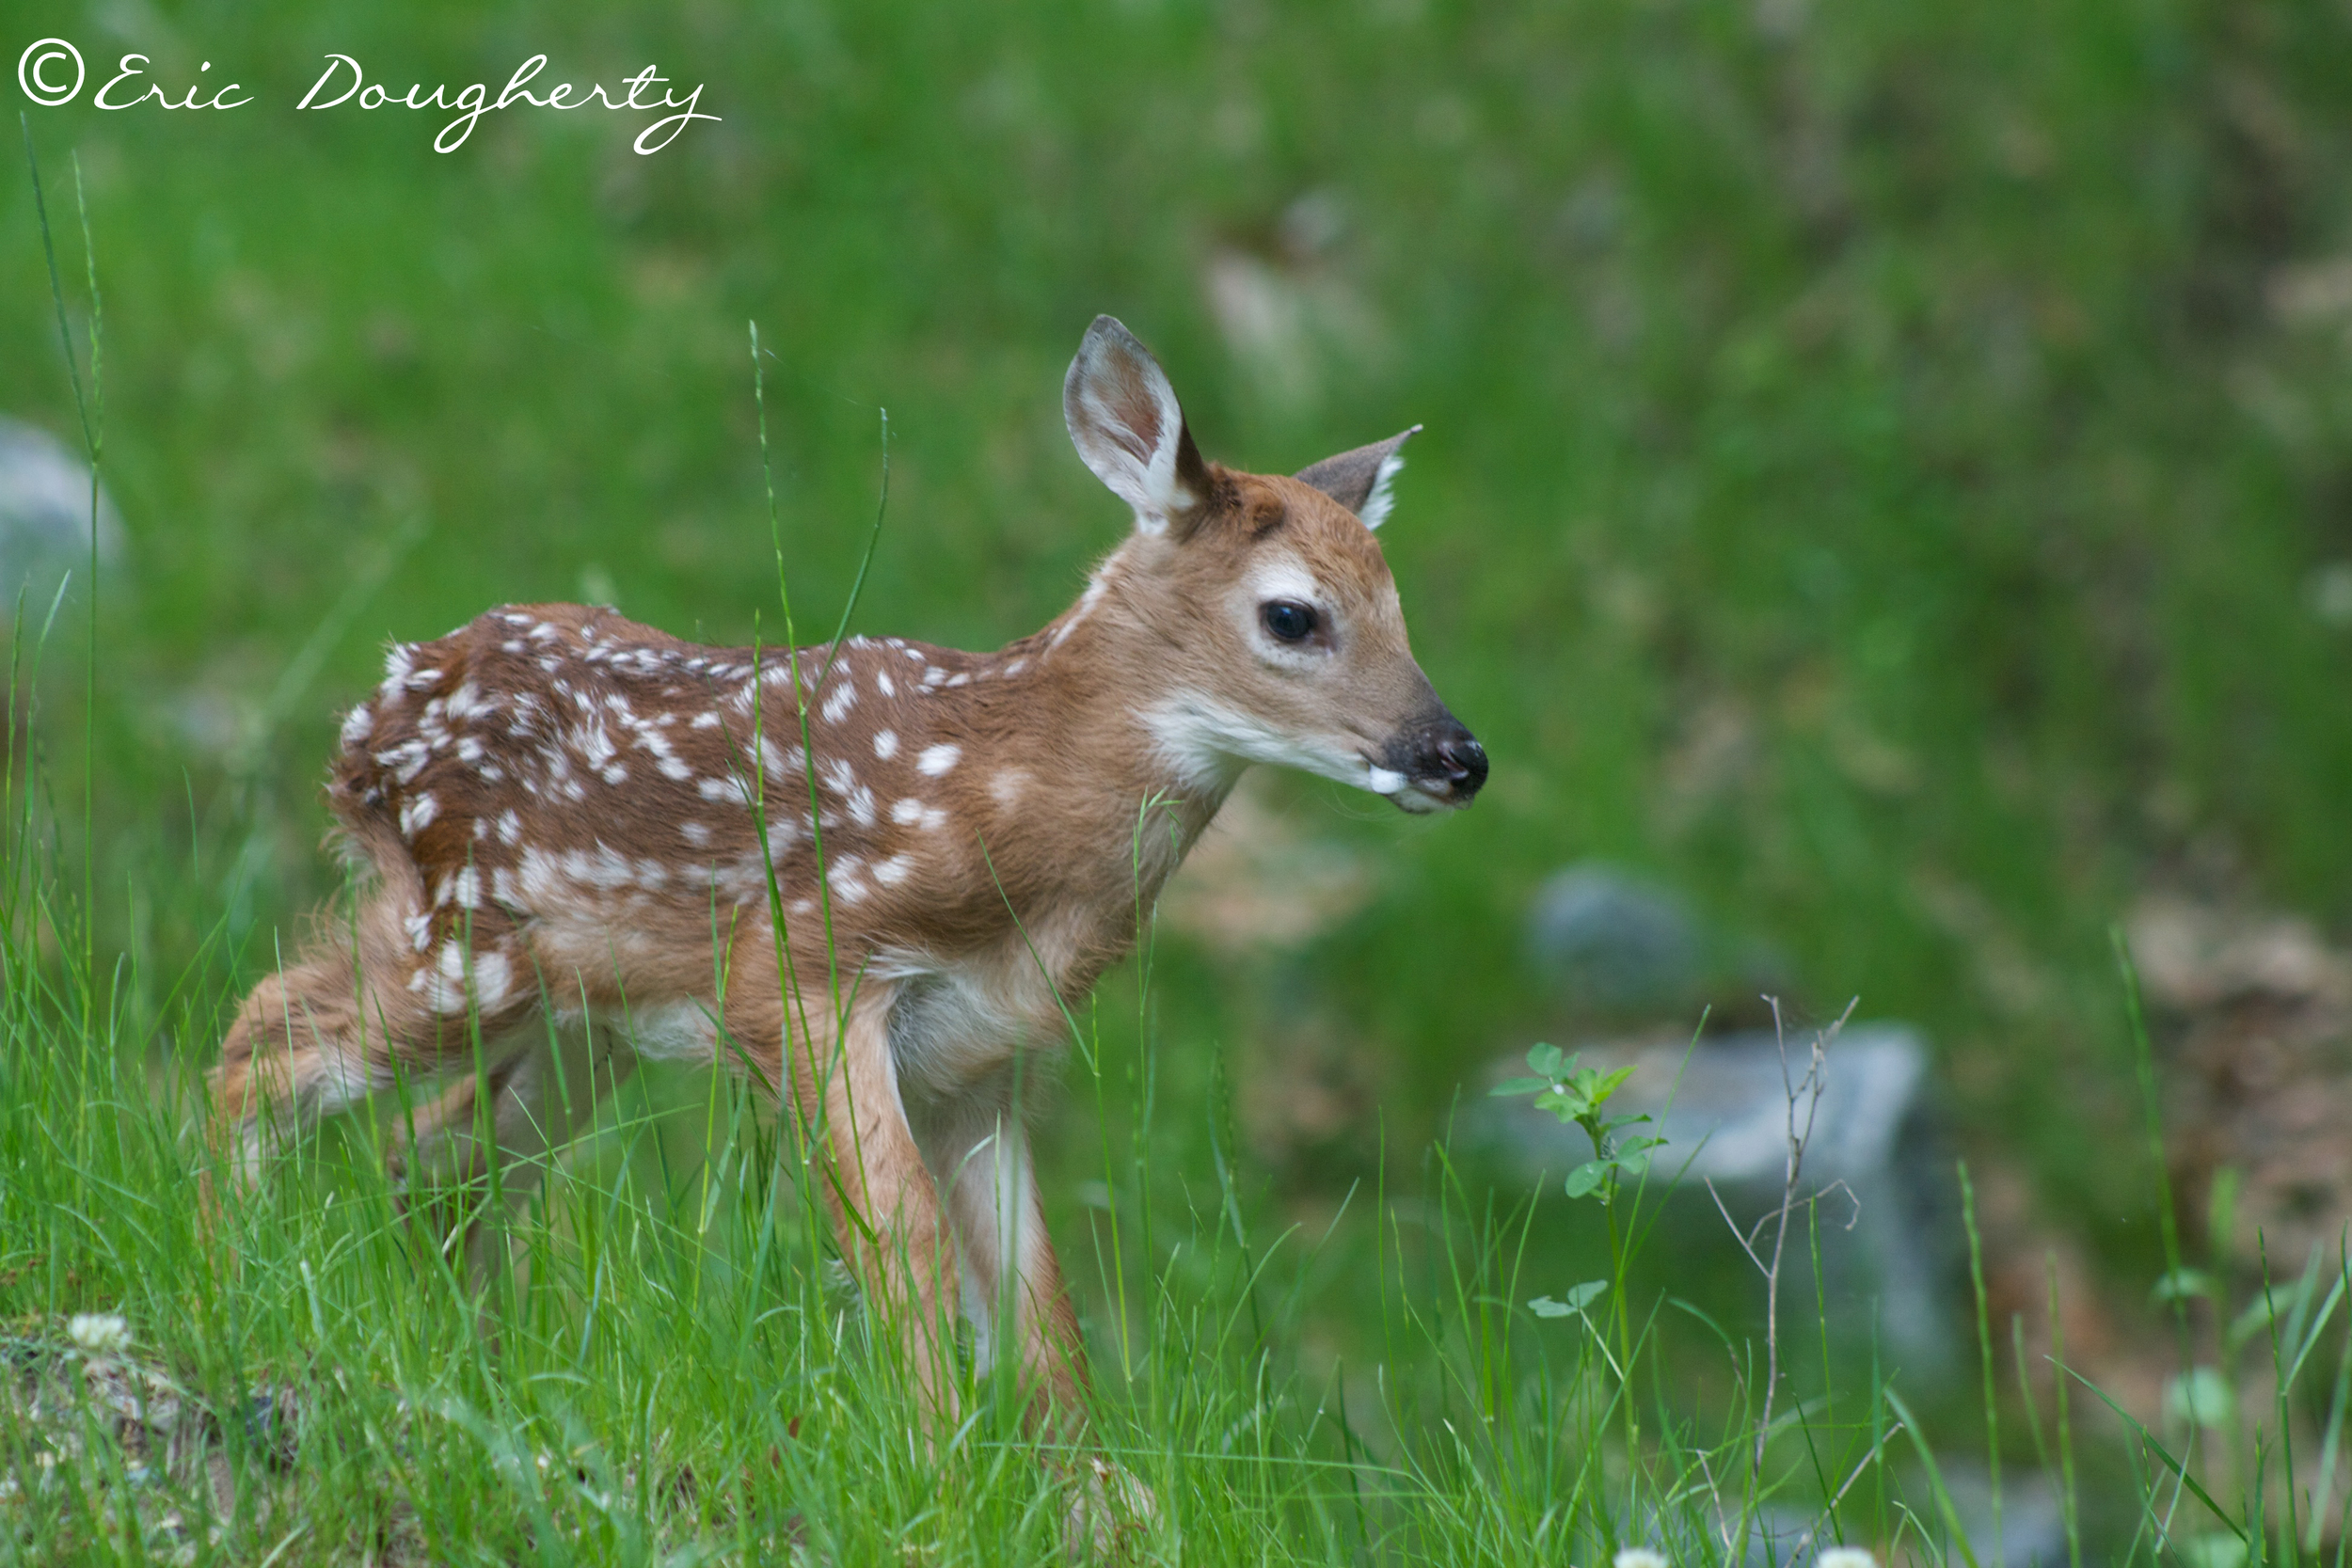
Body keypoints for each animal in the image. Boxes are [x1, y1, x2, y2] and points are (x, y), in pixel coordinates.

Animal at [210, 315, 1486, 1459]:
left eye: (1400, 608)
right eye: (1293, 614)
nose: (1456, 756)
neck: (1005, 811)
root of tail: (367, 717)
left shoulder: (983, 1054)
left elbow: (1038, 1303)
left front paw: (1083, 1491)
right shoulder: (804, 970)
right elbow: (902, 1246)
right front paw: (935, 1458)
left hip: (584, 1017)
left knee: (434, 1154)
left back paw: (467, 1354)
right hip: (462, 940)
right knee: (266, 1034)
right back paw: (237, 1260)